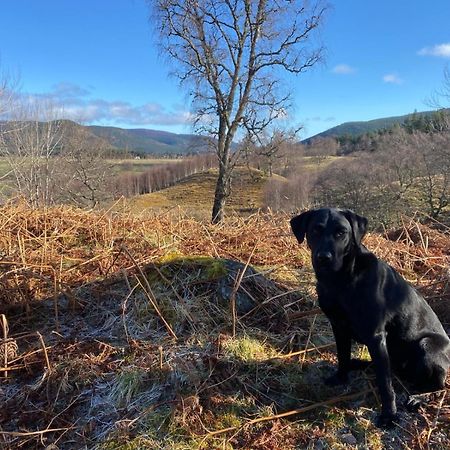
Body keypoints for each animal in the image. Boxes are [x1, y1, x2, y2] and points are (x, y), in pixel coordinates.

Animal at [290, 207, 448, 426]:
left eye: (341, 233)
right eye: (315, 230)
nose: (323, 258)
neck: (340, 281)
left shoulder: (375, 336)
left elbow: (385, 384)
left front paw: (389, 415)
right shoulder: (338, 326)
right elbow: (343, 356)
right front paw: (340, 377)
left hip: (426, 346)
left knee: (438, 386)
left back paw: (418, 398)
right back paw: (360, 364)